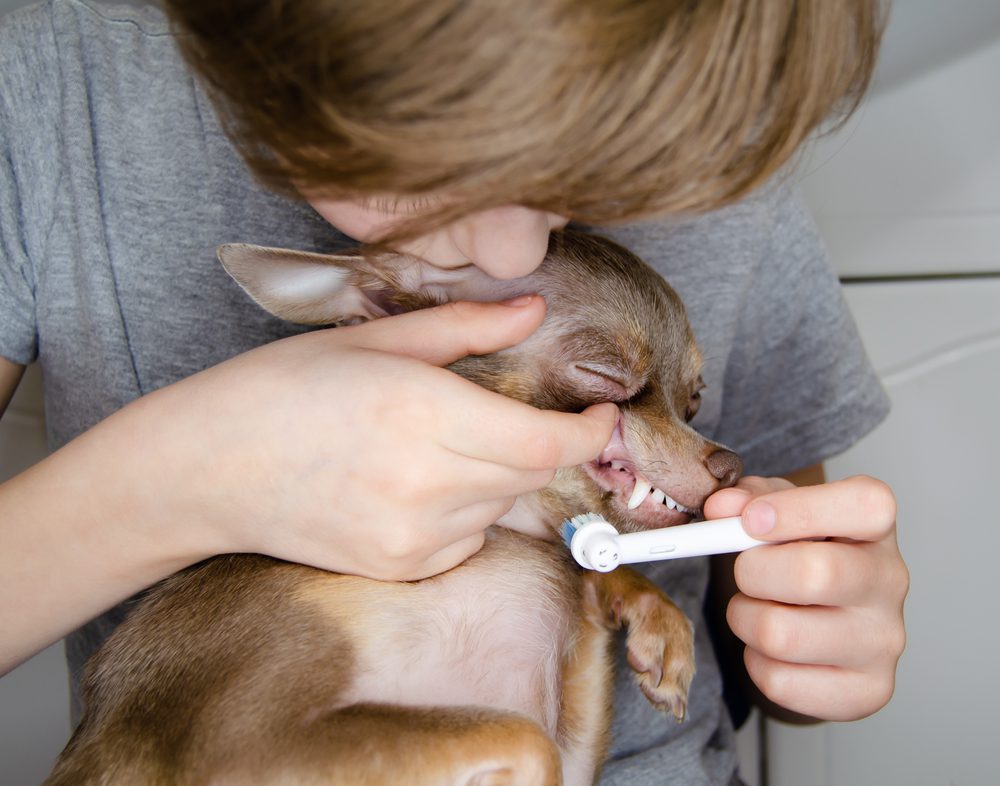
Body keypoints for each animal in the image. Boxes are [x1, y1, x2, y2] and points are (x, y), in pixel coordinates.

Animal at [47, 230, 744, 780]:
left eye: (695, 399)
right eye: (603, 376)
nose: (729, 466)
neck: (500, 535)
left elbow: (591, 574)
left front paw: (660, 627)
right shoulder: (242, 740)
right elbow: (524, 737)